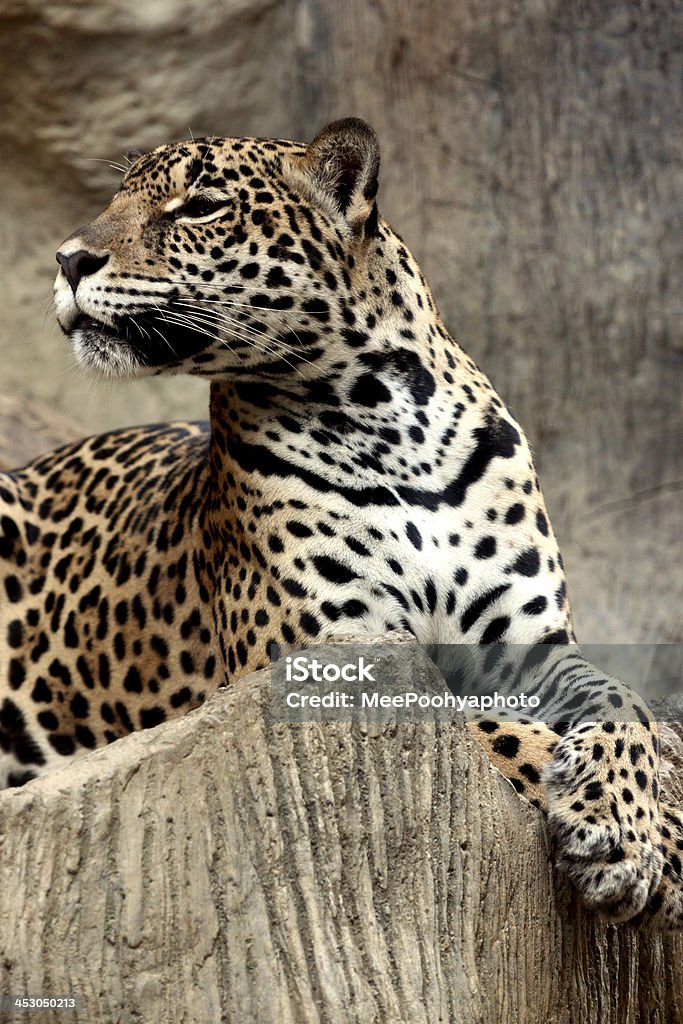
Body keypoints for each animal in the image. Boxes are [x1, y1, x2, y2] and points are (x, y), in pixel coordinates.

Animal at [1, 117, 683, 929]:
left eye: (199, 206)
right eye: (115, 198)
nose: (67, 259)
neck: (391, 421)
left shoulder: (530, 647)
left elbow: (622, 699)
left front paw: (635, 815)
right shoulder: (326, 661)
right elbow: (486, 728)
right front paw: (652, 839)